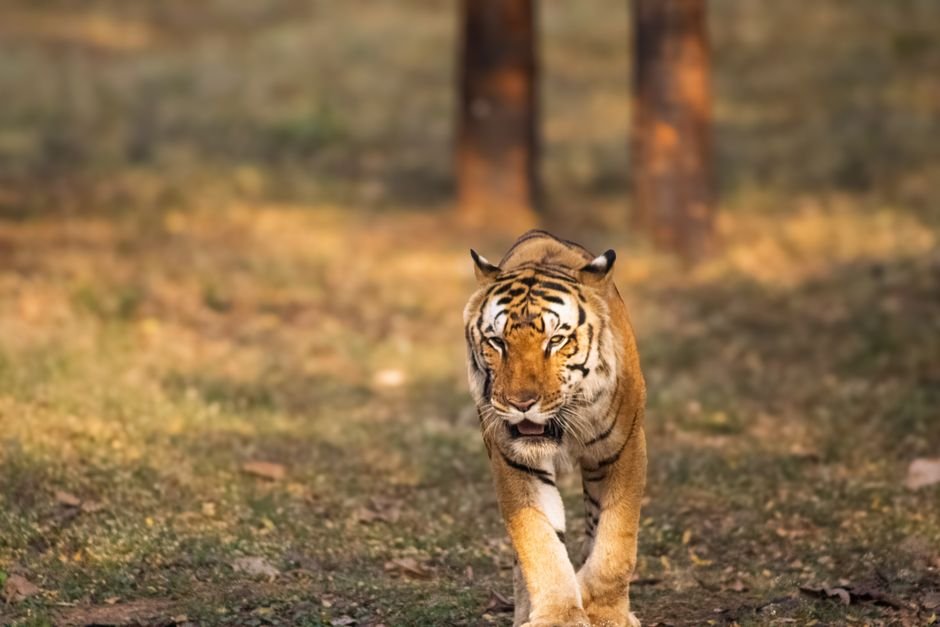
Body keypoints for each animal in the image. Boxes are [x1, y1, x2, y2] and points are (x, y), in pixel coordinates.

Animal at [463, 230, 647, 627]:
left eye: (556, 340)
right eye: (497, 342)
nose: (521, 403)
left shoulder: (625, 448)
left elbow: (615, 542)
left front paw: (606, 612)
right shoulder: (515, 461)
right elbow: (540, 542)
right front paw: (559, 616)